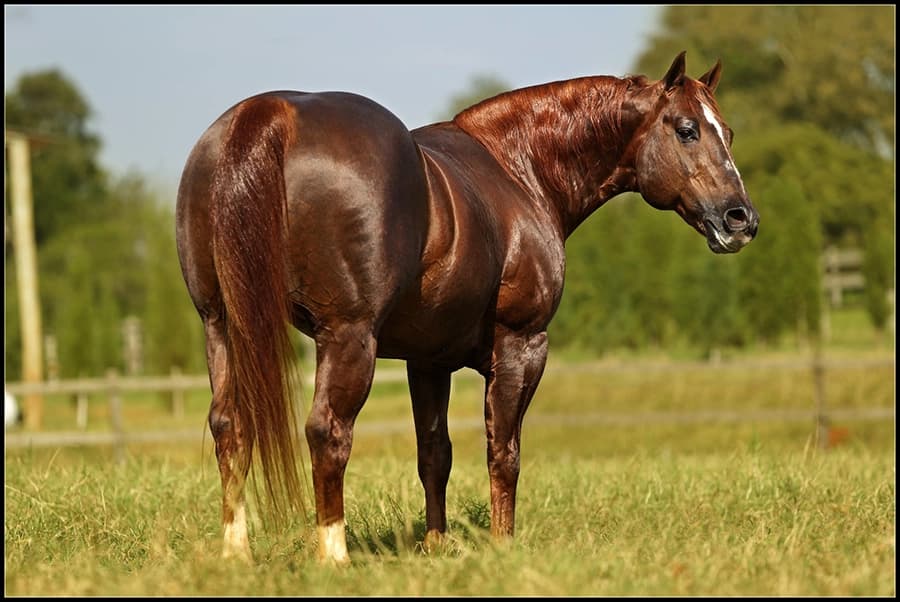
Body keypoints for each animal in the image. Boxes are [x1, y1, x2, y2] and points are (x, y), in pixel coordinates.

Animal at [175, 51, 759, 564]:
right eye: (686, 129)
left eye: (728, 133)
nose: (741, 219)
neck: (519, 171)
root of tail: (268, 116)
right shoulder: (521, 346)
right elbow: (504, 453)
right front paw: (502, 548)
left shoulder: (426, 361)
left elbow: (435, 454)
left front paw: (436, 546)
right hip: (346, 337)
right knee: (327, 432)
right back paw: (333, 556)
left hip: (220, 325)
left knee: (230, 426)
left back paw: (235, 553)